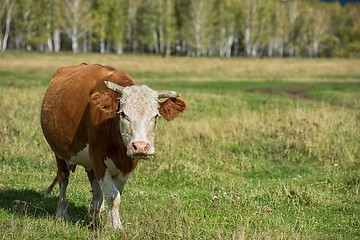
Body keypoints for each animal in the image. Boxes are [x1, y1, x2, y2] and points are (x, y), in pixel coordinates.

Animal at [40, 63, 187, 229]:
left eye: (156, 116)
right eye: (122, 114)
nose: (140, 146)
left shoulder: (127, 166)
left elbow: (117, 194)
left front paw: (109, 221)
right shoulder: (98, 159)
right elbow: (112, 194)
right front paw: (115, 226)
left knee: (93, 182)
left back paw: (96, 208)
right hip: (59, 152)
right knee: (63, 179)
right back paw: (61, 212)